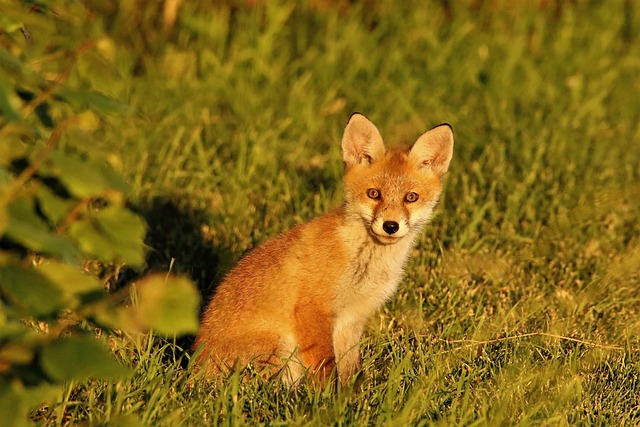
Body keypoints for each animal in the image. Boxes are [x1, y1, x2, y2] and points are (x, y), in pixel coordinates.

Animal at [192, 112, 452, 386]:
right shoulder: (313, 309)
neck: (363, 263)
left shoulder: (352, 321)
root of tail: (191, 374)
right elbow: (325, 367)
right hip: (280, 348)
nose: (390, 225)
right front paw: (326, 397)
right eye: (374, 194)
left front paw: (351, 396)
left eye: (411, 197)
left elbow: (349, 369)